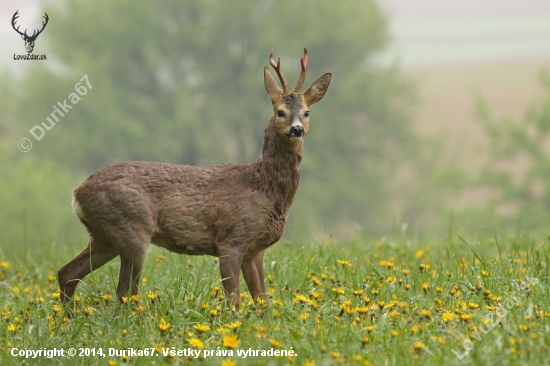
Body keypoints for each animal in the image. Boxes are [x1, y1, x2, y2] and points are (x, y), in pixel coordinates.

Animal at [58, 48, 332, 308]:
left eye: (307, 112)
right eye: (280, 112)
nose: (296, 129)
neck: (263, 188)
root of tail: (77, 193)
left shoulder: (256, 250)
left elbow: (263, 301)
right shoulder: (230, 239)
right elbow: (234, 300)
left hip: (104, 236)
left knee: (67, 273)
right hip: (131, 227)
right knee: (124, 293)